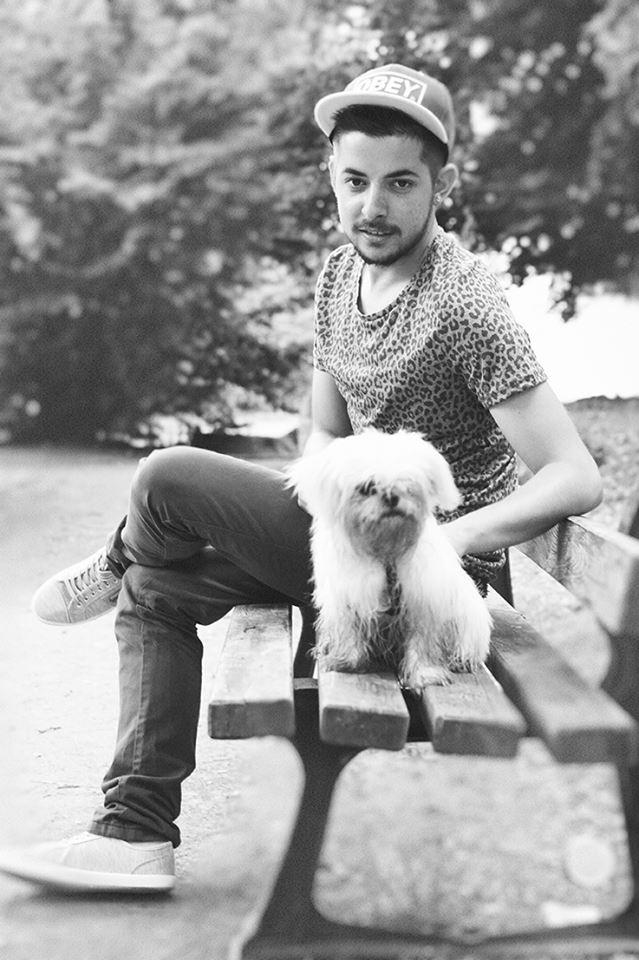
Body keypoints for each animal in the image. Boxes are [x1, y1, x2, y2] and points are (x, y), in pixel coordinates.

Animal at [288, 428, 492, 689]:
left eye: (408, 484)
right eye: (367, 487)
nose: (392, 497)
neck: (385, 550)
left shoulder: (423, 600)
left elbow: (423, 642)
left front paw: (425, 673)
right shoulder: (348, 596)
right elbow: (348, 631)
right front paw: (345, 661)